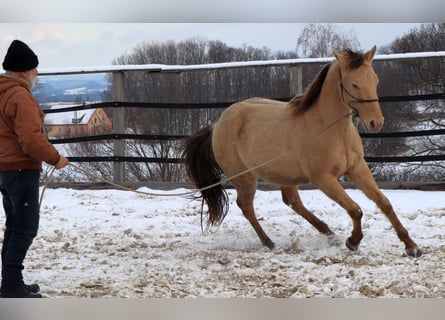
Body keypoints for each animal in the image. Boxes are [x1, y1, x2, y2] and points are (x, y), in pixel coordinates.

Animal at [180, 47, 420, 258]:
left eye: (375, 80)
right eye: (354, 84)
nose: (375, 123)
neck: (331, 129)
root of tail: (218, 123)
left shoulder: (357, 168)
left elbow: (384, 203)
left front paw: (411, 247)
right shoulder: (323, 178)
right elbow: (355, 209)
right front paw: (353, 241)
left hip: (285, 175)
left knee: (292, 201)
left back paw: (328, 233)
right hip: (245, 179)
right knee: (246, 206)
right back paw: (269, 242)